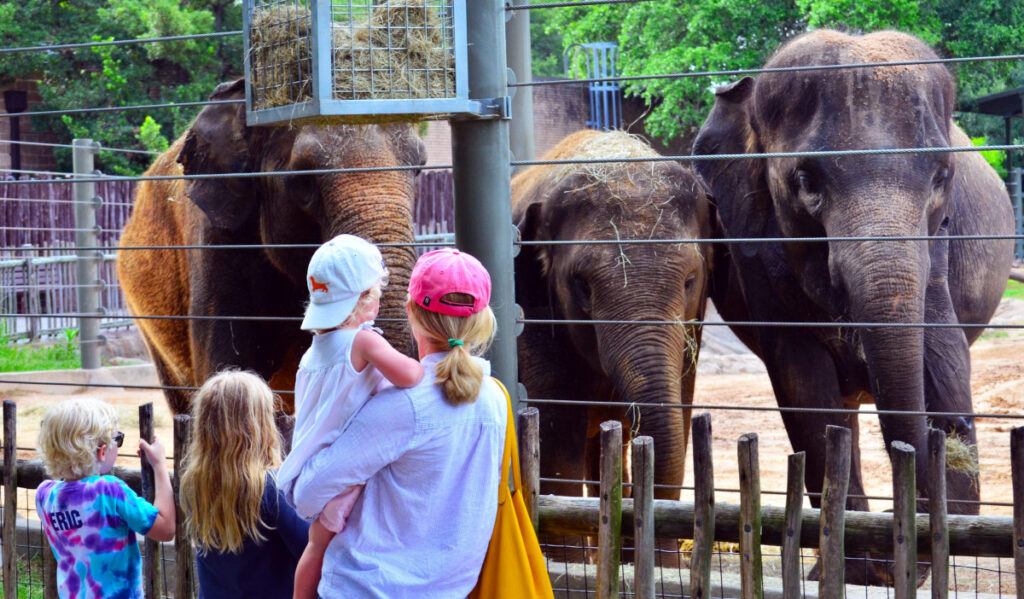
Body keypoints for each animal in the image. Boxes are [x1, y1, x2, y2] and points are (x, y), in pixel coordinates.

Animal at [692, 29, 1011, 585]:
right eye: (806, 181)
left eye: (941, 176)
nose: (950, 431)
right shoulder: (757, 251)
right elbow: (802, 383)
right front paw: (855, 572)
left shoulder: (941, 247)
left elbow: (942, 355)